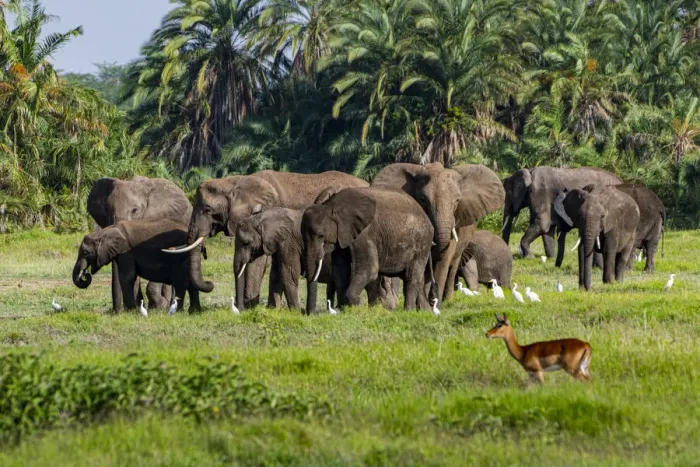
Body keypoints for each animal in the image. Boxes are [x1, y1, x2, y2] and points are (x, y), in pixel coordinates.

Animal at [72, 219, 201, 311]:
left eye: (85, 252)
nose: (86, 274)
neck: (104, 232)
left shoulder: (126, 251)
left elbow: (126, 277)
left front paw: (130, 311)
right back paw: (194, 311)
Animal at [162, 170, 368, 310]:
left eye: (207, 210)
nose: (210, 284)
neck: (234, 182)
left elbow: (259, 263)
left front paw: (249, 306)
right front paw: (271, 308)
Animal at [233, 207, 397, 312]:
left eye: (246, 243)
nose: (240, 309)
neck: (261, 218)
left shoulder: (288, 242)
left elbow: (288, 273)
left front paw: (296, 312)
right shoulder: (278, 244)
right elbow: (276, 275)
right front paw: (274, 310)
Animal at [302, 187, 433, 312]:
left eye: (321, 236)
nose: (311, 314)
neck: (331, 205)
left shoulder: (365, 234)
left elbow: (369, 269)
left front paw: (357, 308)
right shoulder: (343, 235)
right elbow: (340, 269)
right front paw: (345, 310)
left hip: (422, 243)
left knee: (412, 277)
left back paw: (408, 311)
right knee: (412, 278)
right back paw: (424, 311)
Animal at [371, 162, 504, 304]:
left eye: (457, 201)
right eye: (422, 199)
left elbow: (444, 260)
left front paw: (435, 302)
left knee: (453, 267)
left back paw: (447, 299)